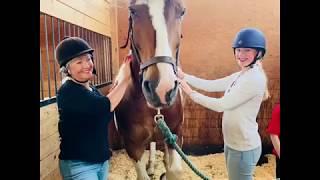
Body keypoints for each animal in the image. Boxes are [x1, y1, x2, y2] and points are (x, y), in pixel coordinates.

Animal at [114, 0, 185, 180]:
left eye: (182, 12)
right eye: (132, 11)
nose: (161, 88)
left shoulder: (176, 134)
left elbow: (174, 170)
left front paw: (166, 171)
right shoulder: (133, 145)